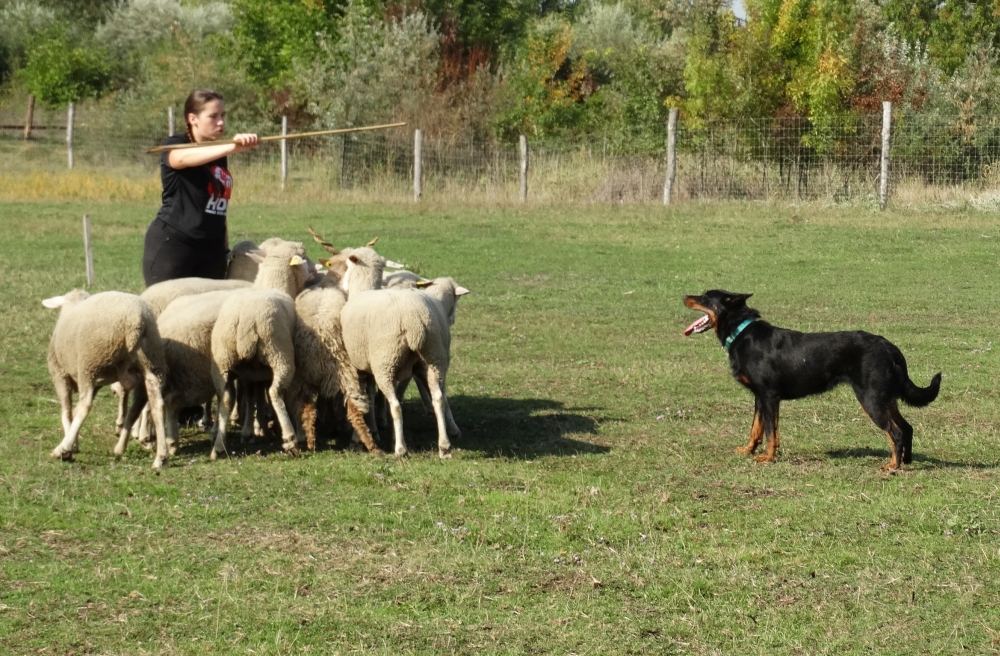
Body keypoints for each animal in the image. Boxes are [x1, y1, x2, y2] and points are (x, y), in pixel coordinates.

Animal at [40, 290, 170, 466]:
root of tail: (136, 320)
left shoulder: (59, 374)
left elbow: (67, 412)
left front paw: (70, 447)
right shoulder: (95, 384)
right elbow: (72, 411)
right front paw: (74, 444)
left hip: (89, 363)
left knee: (85, 406)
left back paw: (61, 449)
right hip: (152, 357)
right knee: (156, 402)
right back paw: (160, 457)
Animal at [684, 290, 940, 468]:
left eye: (705, 297)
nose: (684, 296)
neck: (741, 332)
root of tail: (890, 347)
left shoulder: (769, 397)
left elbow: (771, 433)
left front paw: (767, 458)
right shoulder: (759, 398)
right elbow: (756, 429)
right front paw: (748, 451)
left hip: (871, 399)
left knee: (895, 432)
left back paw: (892, 466)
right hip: (886, 399)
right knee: (906, 428)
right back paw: (906, 462)